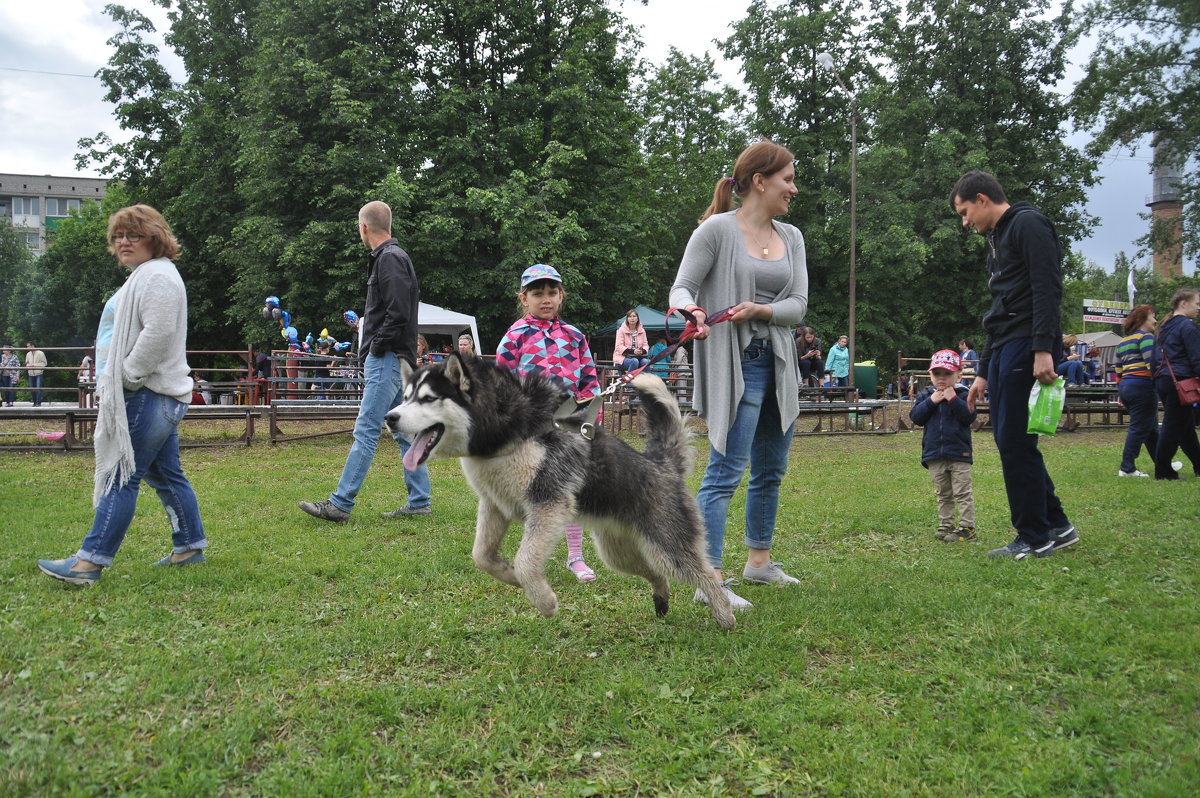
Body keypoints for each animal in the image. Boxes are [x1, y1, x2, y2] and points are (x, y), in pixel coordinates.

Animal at [388, 355, 734, 628]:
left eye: (428, 398)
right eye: (405, 397)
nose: (390, 418)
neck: (509, 435)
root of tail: (662, 463)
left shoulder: (548, 504)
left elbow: (526, 561)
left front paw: (544, 601)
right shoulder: (495, 505)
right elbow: (482, 556)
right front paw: (509, 576)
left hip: (668, 548)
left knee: (705, 574)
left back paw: (725, 616)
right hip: (617, 554)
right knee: (654, 573)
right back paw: (662, 597)